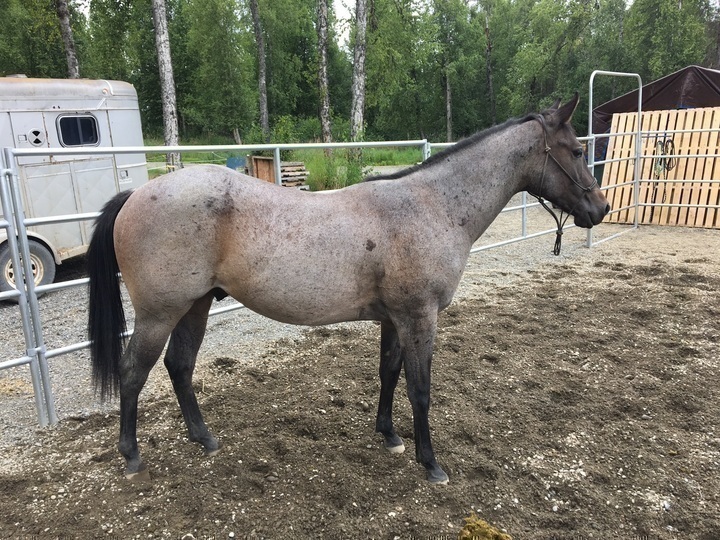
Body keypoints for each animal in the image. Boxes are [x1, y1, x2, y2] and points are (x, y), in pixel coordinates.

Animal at [87, 94, 609, 485]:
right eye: (577, 151)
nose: (600, 209)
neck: (433, 206)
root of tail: (135, 195)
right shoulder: (420, 317)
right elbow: (420, 388)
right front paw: (430, 463)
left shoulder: (396, 319)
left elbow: (389, 374)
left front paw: (389, 436)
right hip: (160, 313)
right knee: (134, 371)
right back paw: (132, 457)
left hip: (194, 306)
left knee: (179, 366)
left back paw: (205, 439)